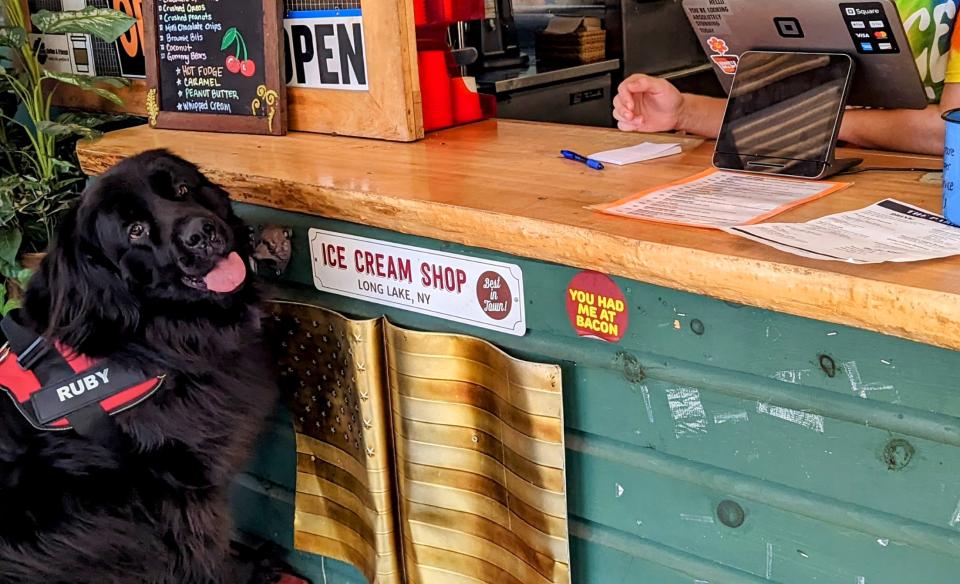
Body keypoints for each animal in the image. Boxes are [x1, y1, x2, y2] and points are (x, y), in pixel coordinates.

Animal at [0, 152, 286, 584]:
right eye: (135, 231)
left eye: (182, 189)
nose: (201, 233)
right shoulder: (174, 484)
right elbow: (202, 545)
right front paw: (247, 568)